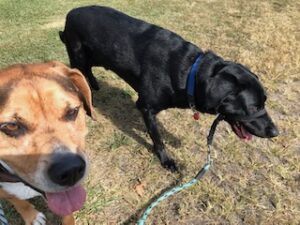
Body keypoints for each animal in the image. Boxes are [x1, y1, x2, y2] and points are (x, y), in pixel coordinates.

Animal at [59, 5, 278, 171]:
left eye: (264, 102)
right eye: (254, 107)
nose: (275, 132)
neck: (189, 72)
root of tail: (71, 12)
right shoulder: (146, 107)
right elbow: (158, 139)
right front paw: (167, 161)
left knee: (87, 71)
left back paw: (94, 85)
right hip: (78, 55)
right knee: (77, 73)